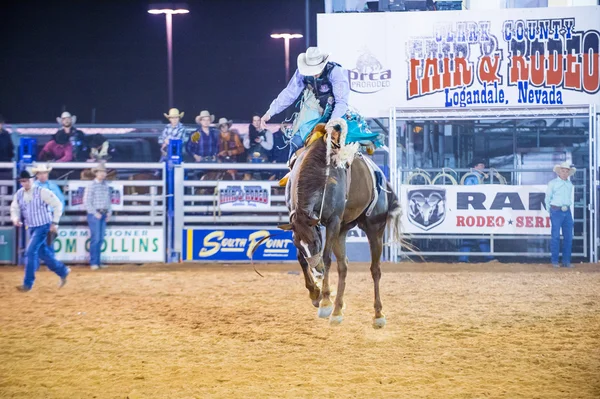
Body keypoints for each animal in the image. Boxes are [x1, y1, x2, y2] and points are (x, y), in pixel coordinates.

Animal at [278, 118, 400, 328]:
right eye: (300, 244)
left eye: (315, 242)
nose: (317, 270)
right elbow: (301, 258)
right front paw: (315, 293)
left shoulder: (332, 222)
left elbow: (327, 259)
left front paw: (325, 301)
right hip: (343, 229)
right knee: (343, 266)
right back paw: (337, 311)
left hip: (374, 227)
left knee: (375, 269)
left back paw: (378, 314)